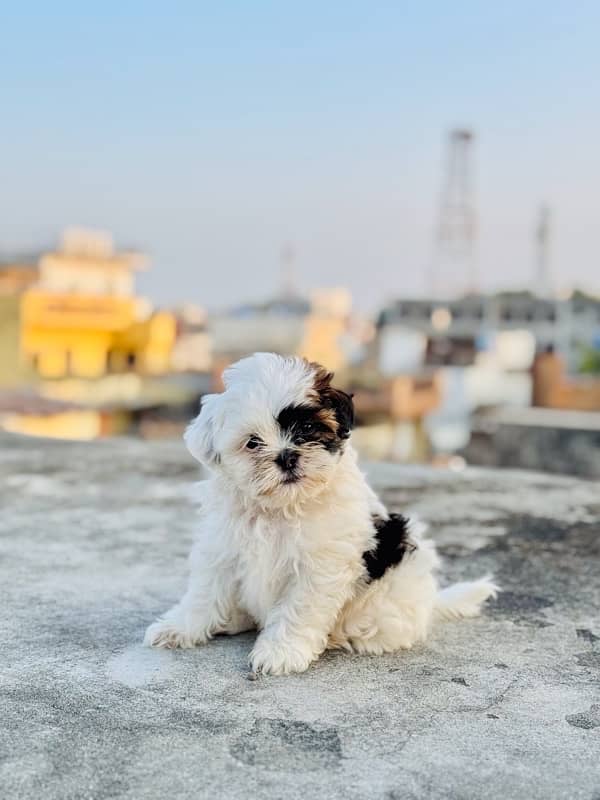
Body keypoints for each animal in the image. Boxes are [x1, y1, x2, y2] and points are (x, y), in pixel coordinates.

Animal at [144, 354, 496, 672]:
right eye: (252, 443)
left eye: (308, 427)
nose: (286, 456)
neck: (281, 507)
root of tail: (430, 601)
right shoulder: (222, 548)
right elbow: (205, 592)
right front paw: (179, 627)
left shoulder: (320, 566)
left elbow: (298, 609)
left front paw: (280, 652)